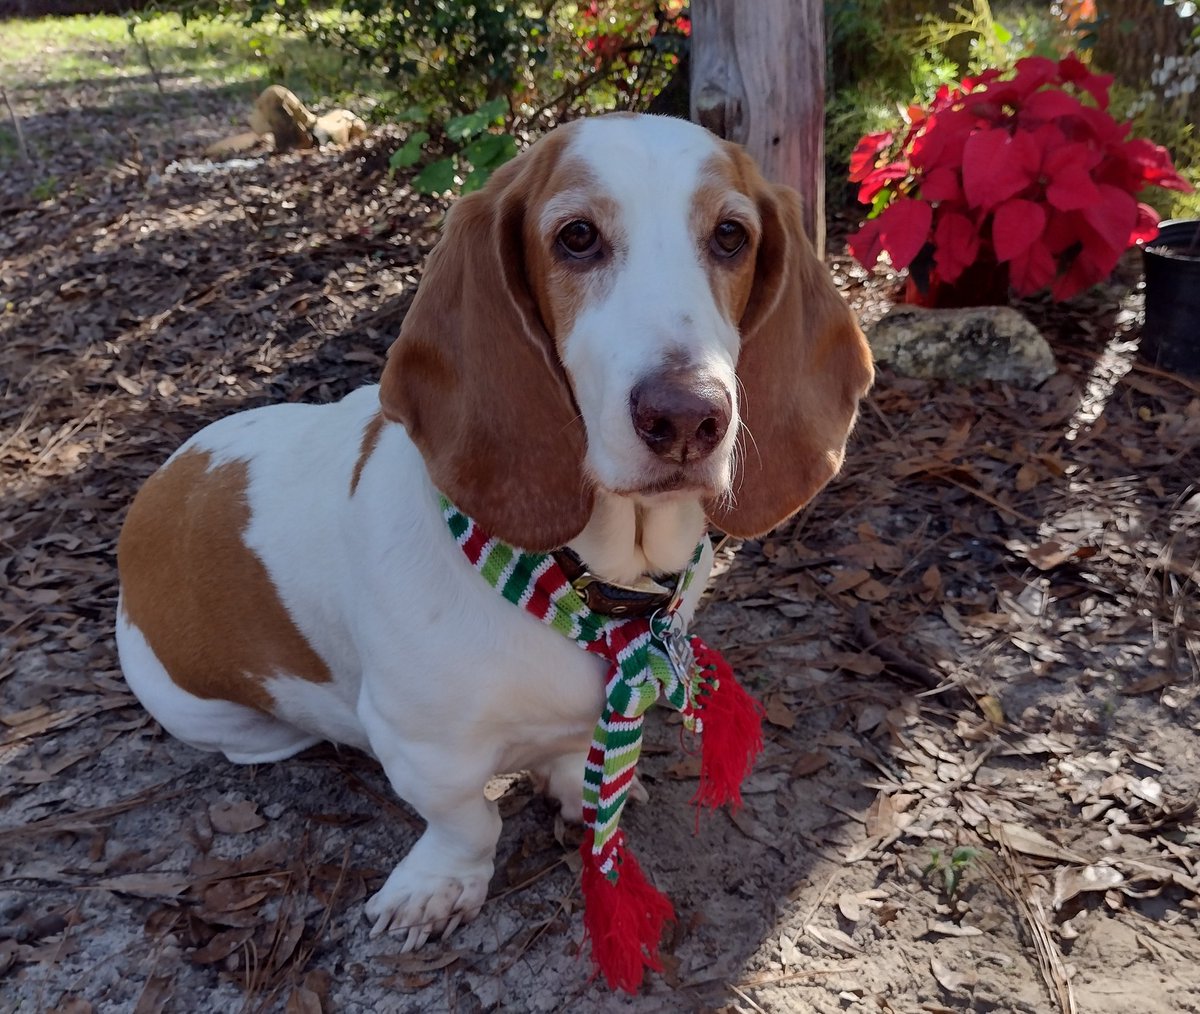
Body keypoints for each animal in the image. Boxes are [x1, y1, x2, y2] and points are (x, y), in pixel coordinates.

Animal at [117, 112, 873, 955]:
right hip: (214, 714)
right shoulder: (421, 750)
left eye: (731, 235)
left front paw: (577, 787)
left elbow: (573, 756)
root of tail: (156, 490)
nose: (686, 417)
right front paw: (440, 886)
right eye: (576, 237)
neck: (578, 584)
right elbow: (467, 823)